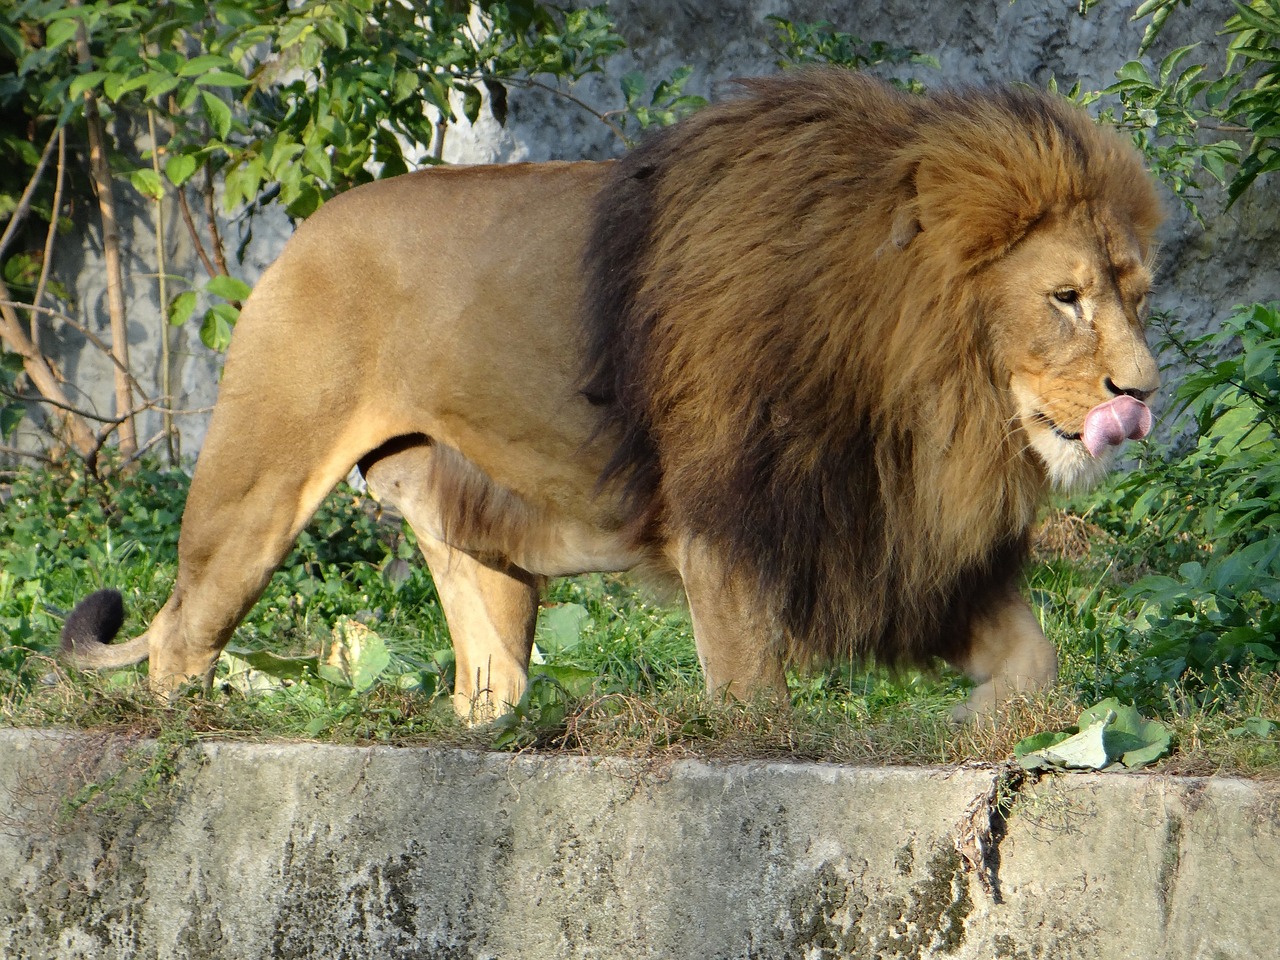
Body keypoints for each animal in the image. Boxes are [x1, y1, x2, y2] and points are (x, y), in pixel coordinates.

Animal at [57, 71, 1162, 721]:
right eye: (1064, 299)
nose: (1142, 392)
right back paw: (184, 735)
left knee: (487, 678)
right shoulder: (730, 531)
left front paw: (997, 731)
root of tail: (306, 227)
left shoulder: (899, 538)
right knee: (182, 636)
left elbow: (1035, 666)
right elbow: (752, 701)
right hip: (254, 486)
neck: (924, 394)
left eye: (1136, 294)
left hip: (475, 537)